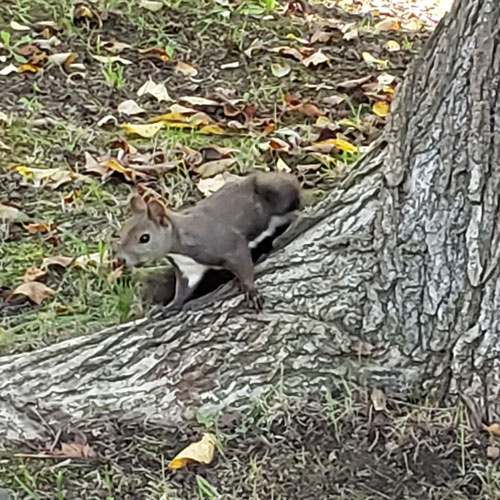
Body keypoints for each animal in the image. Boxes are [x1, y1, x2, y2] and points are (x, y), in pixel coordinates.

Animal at [116, 174, 300, 310]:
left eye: (144, 238)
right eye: (121, 232)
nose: (121, 259)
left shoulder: (226, 244)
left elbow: (243, 264)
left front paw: (251, 291)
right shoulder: (188, 270)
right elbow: (183, 290)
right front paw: (170, 306)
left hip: (277, 193)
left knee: (298, 210)